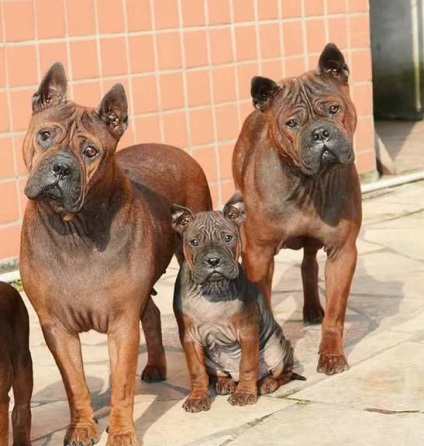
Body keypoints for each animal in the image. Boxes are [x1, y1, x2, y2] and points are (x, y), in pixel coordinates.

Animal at [20, 63, 212, 446]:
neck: (74, 230)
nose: (61, 167)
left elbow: (122, 385)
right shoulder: (56, 327)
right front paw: (81, 428)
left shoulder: (122, 324)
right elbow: (75, 385)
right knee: (151, 313)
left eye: (90, 151)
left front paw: (121, 434)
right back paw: (155, 366)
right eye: (45, 135)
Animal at [169, 193, 304, 412]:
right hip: (211, 359)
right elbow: (196, 370)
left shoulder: (247, 331)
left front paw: (245, 394)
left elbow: (247, 365)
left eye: (228, 238)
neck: (213, 289)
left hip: (277, 347)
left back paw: (266, 384)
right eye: (194, 242)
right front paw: (197, 397)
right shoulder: (189, 337)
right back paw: (225, 383)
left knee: (282, 374)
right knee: (220, 373)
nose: (213, 261)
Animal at [232, 43, 362, 374]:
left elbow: (336, 313)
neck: (308, 184)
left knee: (308, 264)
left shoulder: (342, 252)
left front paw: (331, 354)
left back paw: (313, 307)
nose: (320, 134)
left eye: (333, 109)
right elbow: (261, 302)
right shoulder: (259, 253)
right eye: (292, 123)